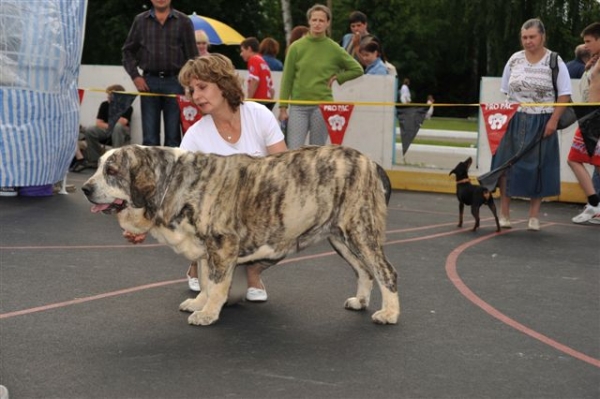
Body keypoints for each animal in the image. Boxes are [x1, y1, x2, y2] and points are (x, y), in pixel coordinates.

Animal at [79, 145, 398, 326]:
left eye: (111, 171)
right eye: (98, 167)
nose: (85, 188)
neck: (172, 182)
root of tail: (372, 163)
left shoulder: (223, 244)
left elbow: (218, 285)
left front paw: (207, 314)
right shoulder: (207, 250)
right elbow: (206, 281)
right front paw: (199, 303)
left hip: (360, 231)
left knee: (385, 271)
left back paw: (389, 314)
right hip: (340, 238)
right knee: (364, 271)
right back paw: (360, 301)